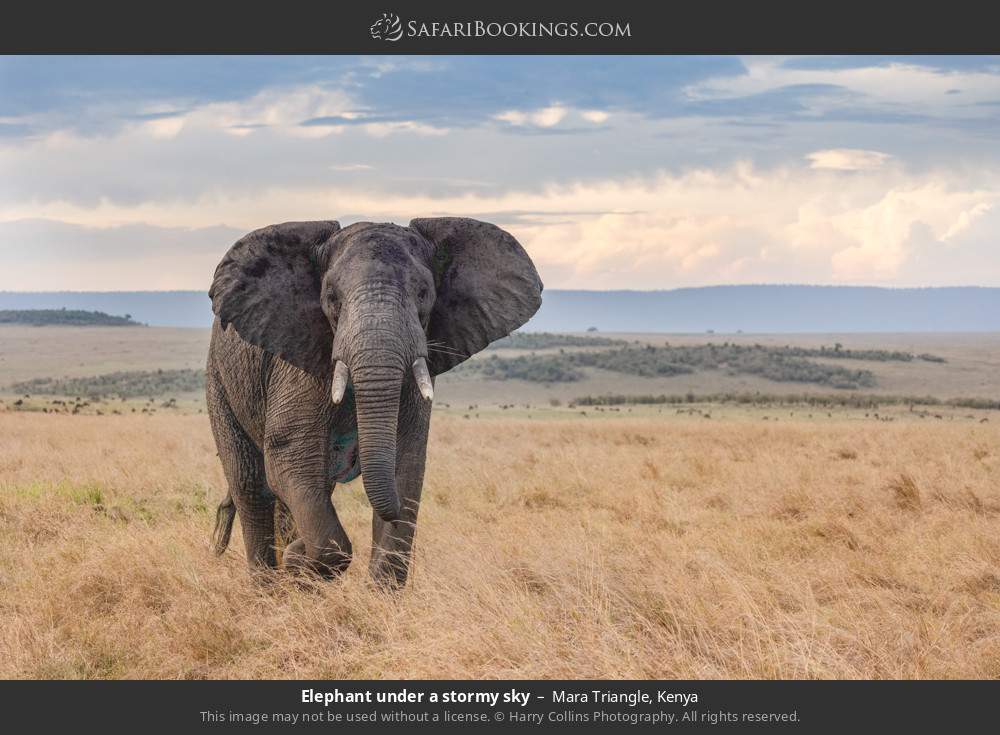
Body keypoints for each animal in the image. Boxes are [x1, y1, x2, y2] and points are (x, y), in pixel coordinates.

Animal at [206, 217, 544, 588]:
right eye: (331, 297)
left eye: (424, 294)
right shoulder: (299, 360)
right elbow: (289, 455)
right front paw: (300, 562)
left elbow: (406, 461)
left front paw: (376, 595)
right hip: (220, 381)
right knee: (252, 486)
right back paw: (267, 589)